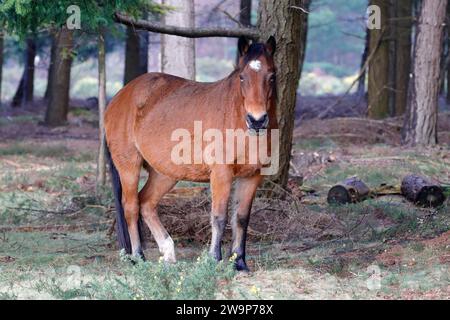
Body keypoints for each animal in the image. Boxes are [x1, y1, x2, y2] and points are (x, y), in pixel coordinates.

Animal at [105, 36, 278, 272]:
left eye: (272, 76)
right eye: (242, 77)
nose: (257, 120)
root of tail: (117, 99)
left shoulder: (252, 176)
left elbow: (241, 218)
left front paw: (240, 262)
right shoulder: (221, 174)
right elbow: (219, 217)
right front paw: (214, 259)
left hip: (165, 174)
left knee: (146, 203)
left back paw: (168, 253)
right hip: (128, 166)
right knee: (131, 207)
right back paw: (138, 256)